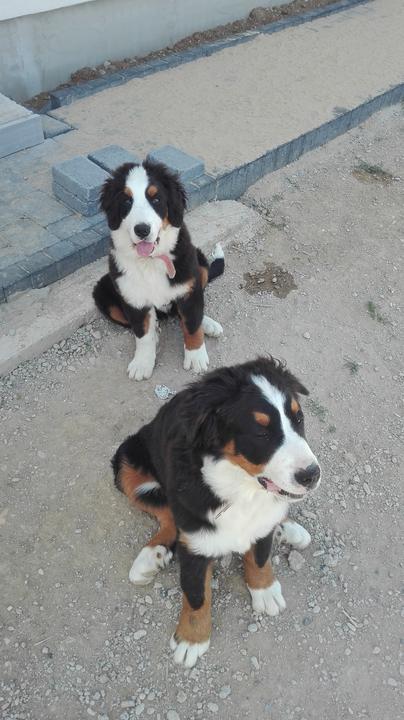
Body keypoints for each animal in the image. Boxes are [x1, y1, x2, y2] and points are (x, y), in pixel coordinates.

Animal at [93, 160, 224, 380]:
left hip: (199, 264)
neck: (151, 261)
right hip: (103, 292)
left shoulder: (188, 287)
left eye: (156, 199)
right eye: (126, 201)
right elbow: (142, 333)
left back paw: (208, 324)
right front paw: (142, 363)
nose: (142, 230)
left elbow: (192, 323)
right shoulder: (133, 298)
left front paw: (196, 356)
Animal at [112, 357, 321, 667]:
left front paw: (264, 590)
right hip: (126, 461)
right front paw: (192, 638)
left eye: (299, 419)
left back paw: (287, 529)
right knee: (167, 513)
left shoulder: (260, 523)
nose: (311, 475)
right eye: (260, 432)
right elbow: (197, 594)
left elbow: (260, 557)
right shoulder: (195, 546)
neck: (241, 487)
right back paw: (152, 555)